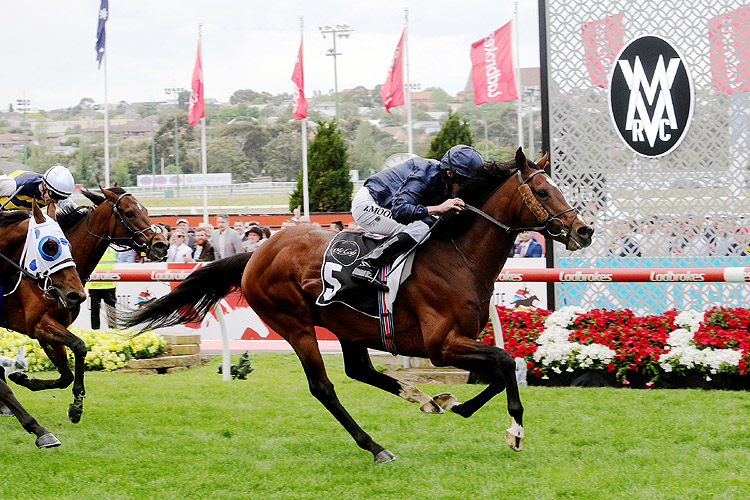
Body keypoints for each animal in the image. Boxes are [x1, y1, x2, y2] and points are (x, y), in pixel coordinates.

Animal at [0, 201, 87, 448]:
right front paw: (39, 429)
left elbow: (77, 350)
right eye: (49, 246)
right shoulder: (39, 325)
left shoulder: (48, 327)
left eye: (68, 245)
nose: (77, 295)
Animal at [7, 188, 167, 422]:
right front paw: (75, 404)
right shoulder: (38, 324)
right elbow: (79, 347)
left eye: (146, 210)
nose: (161, 244)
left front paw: (25, 379)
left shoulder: (49, 327)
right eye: (129, 213)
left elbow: (66, 373)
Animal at [126, 149, 596, 464]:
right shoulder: (441, 343)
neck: (458, 256)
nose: (585, 230)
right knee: (324, 387)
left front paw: (457, 404)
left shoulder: (461, 339)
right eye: (542, 190)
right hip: (294, 324)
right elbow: (504, 360)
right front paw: (514, 430)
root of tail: (257, 253)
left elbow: (501, 367)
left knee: (359, 371)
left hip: (348, 326)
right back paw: (376, 446)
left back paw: (422, 397)